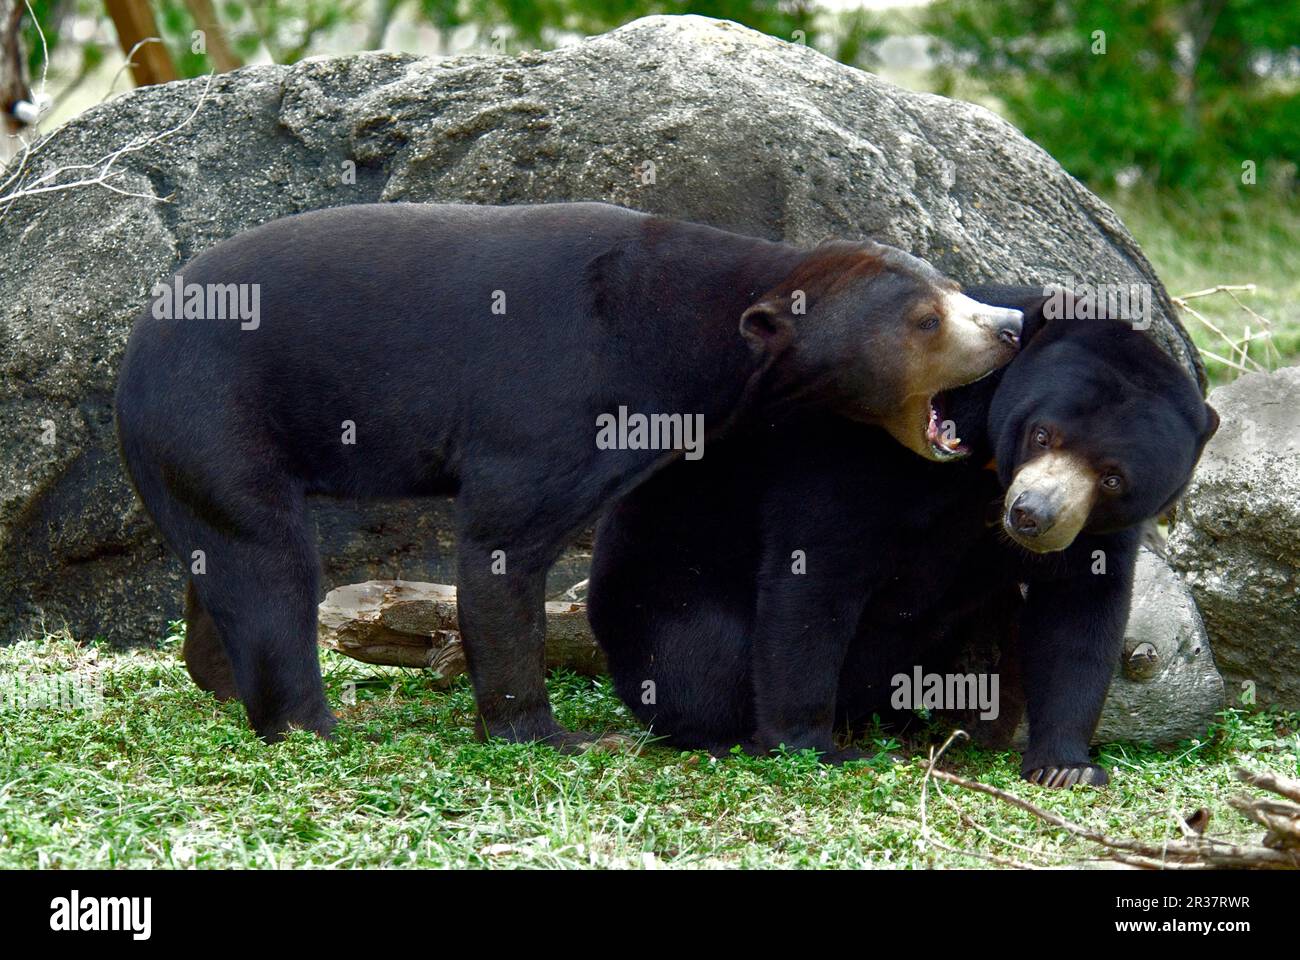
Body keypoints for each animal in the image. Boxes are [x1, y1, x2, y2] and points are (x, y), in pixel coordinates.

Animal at [114, 200, 1024, 738]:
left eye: (952, 288)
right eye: (927, 320)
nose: (1011, 325)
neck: (698, 336)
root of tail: (133, 346)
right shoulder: (554, 400)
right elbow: (500, 546)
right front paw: (549, 732)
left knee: (221, 554)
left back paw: (219, 683)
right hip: (215, 412)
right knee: (269, 560)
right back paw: (310, 721)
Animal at [590, 280, 1216, 780]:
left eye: (1112, 478)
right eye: (1043, 434)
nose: (1031, 516)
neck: (987, 466)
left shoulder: (1094, 530)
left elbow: (1079, 610)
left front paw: (1065, 767)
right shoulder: (868, 446)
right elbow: (817, 570)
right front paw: (809, 745)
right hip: (667, 578)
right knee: (702, 656)